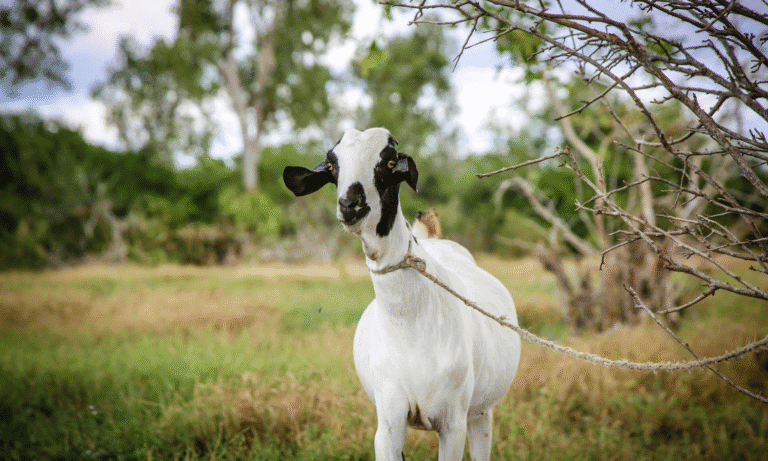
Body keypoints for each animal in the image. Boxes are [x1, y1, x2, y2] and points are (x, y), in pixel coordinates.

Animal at [283, 127, 520, 461]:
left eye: (391, 162)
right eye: (332, 166)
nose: (351, 205)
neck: (411, 326)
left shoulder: (453, 422)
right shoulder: (388, 421)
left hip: (480, 413)